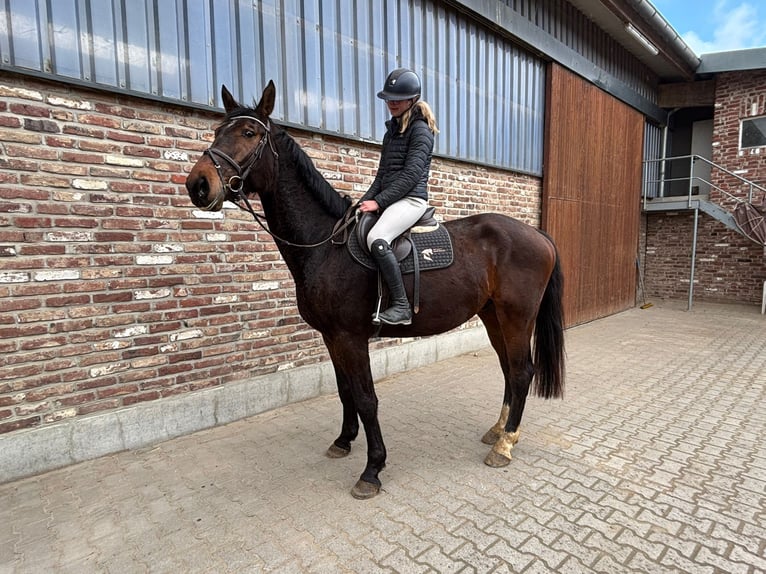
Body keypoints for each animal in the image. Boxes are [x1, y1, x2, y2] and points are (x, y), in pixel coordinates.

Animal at [185, 81, 565, 499]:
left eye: (249, 133)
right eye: (218, 131)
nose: (198, 185)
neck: (325, 245)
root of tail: (538, 235)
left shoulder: (351, 337)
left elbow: (367, 399)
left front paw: (372, 469)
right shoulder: (332, 336)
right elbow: (344, 390)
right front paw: (343, 441)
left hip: (517, 317)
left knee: (522, 371)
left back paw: (505, 444)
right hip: (493, 315)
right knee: (508, 369)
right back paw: (498, 431)